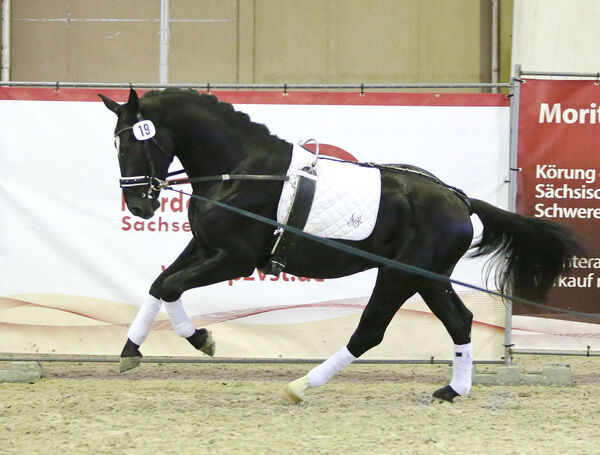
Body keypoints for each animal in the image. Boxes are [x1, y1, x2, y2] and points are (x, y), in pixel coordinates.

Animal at [101, 88, 584, 402]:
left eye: (132, 142)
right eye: (116, 144)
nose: (140, 205)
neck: (237, 170)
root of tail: (459, 200)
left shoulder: (235, 257)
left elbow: (170, 287)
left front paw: (201, 340)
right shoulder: (203, 246)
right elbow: (160, 285)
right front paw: (132, 351)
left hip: (399, 275)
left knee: (370, 331)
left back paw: (302, 387)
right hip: (428, 278)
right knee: (460, 321)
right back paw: (452, 390)